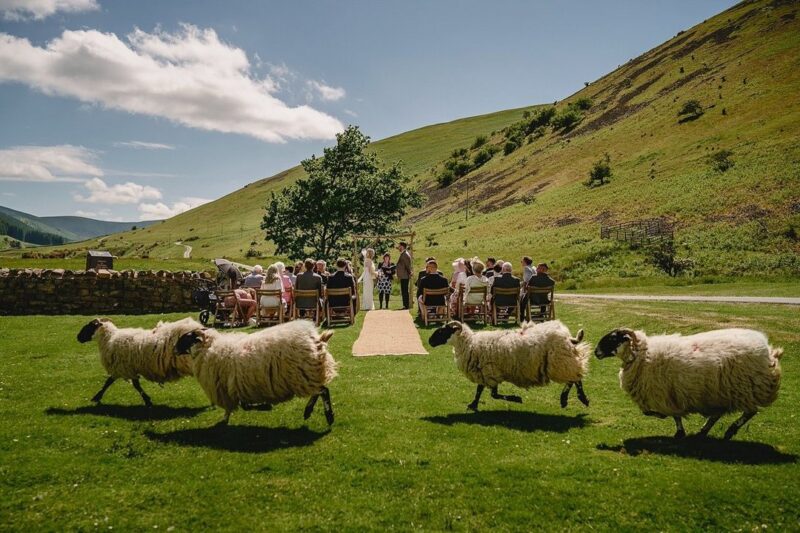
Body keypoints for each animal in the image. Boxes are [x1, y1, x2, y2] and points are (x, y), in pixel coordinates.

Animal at [175, 318, 338, 426]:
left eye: (185, 338)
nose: (174, 350)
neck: (208, 348)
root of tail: (315, 339)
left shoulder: (226, 389)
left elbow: (235, 407)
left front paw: (226, 420)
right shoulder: (236, 387)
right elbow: (244, 405)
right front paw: (263, 406)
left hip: (302, 374)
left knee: (323, 391)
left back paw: (328, 415)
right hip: (308, 374)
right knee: (319, 390)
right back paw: (309, 411)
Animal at [428, 320, 592, 412]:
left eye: (442, 331)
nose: (430, 341)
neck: (469, 343)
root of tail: (567, 337)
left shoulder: (487, 371)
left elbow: (490, 394)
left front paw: (516, 399)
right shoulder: (487, 373)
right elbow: (483, 392)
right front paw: (473, 405)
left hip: (559, 362)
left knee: (574, 379)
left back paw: (572, 399)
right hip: (562, 361)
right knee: (575, 378)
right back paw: (574, 400)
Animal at [596, 326, 784, 438]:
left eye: (613, 338)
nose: (596, 352)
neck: (642, 355)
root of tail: (768, 350)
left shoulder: (665, 394)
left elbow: (658, 413)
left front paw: (675, 428)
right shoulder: (671, 395)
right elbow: (663, 413)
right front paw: (679, 431)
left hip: (746, 389)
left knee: (750, 412)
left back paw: (730, 430)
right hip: (722, 393)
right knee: (719, 414)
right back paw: (704, 431)